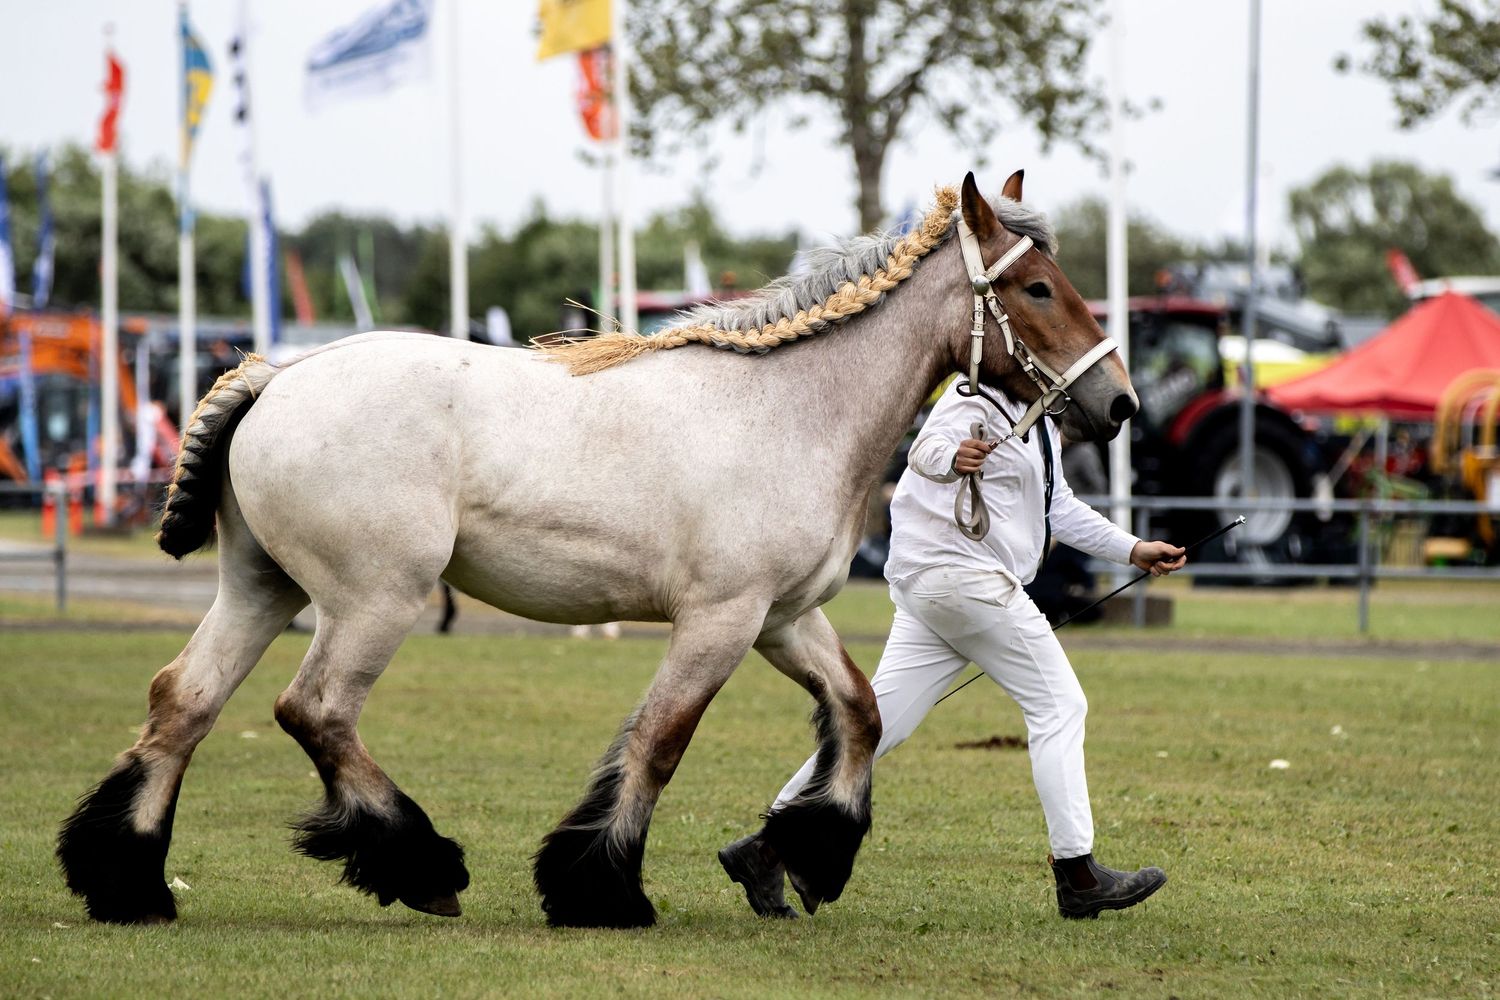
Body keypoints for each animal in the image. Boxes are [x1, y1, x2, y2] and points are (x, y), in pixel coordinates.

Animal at [57, 171, 1138, 928]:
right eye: (1038, 287)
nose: (1119, 401)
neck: (788, 408)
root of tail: (278, 377)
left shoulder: (783, 618)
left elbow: (860, 715)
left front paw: (804, 857)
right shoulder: (718, 621)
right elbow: (659, 741)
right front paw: (602, 889)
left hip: (261, 589)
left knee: (183, 703)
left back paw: (128, 882)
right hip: (375, 603)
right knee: (313, 711)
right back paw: (423, 866)